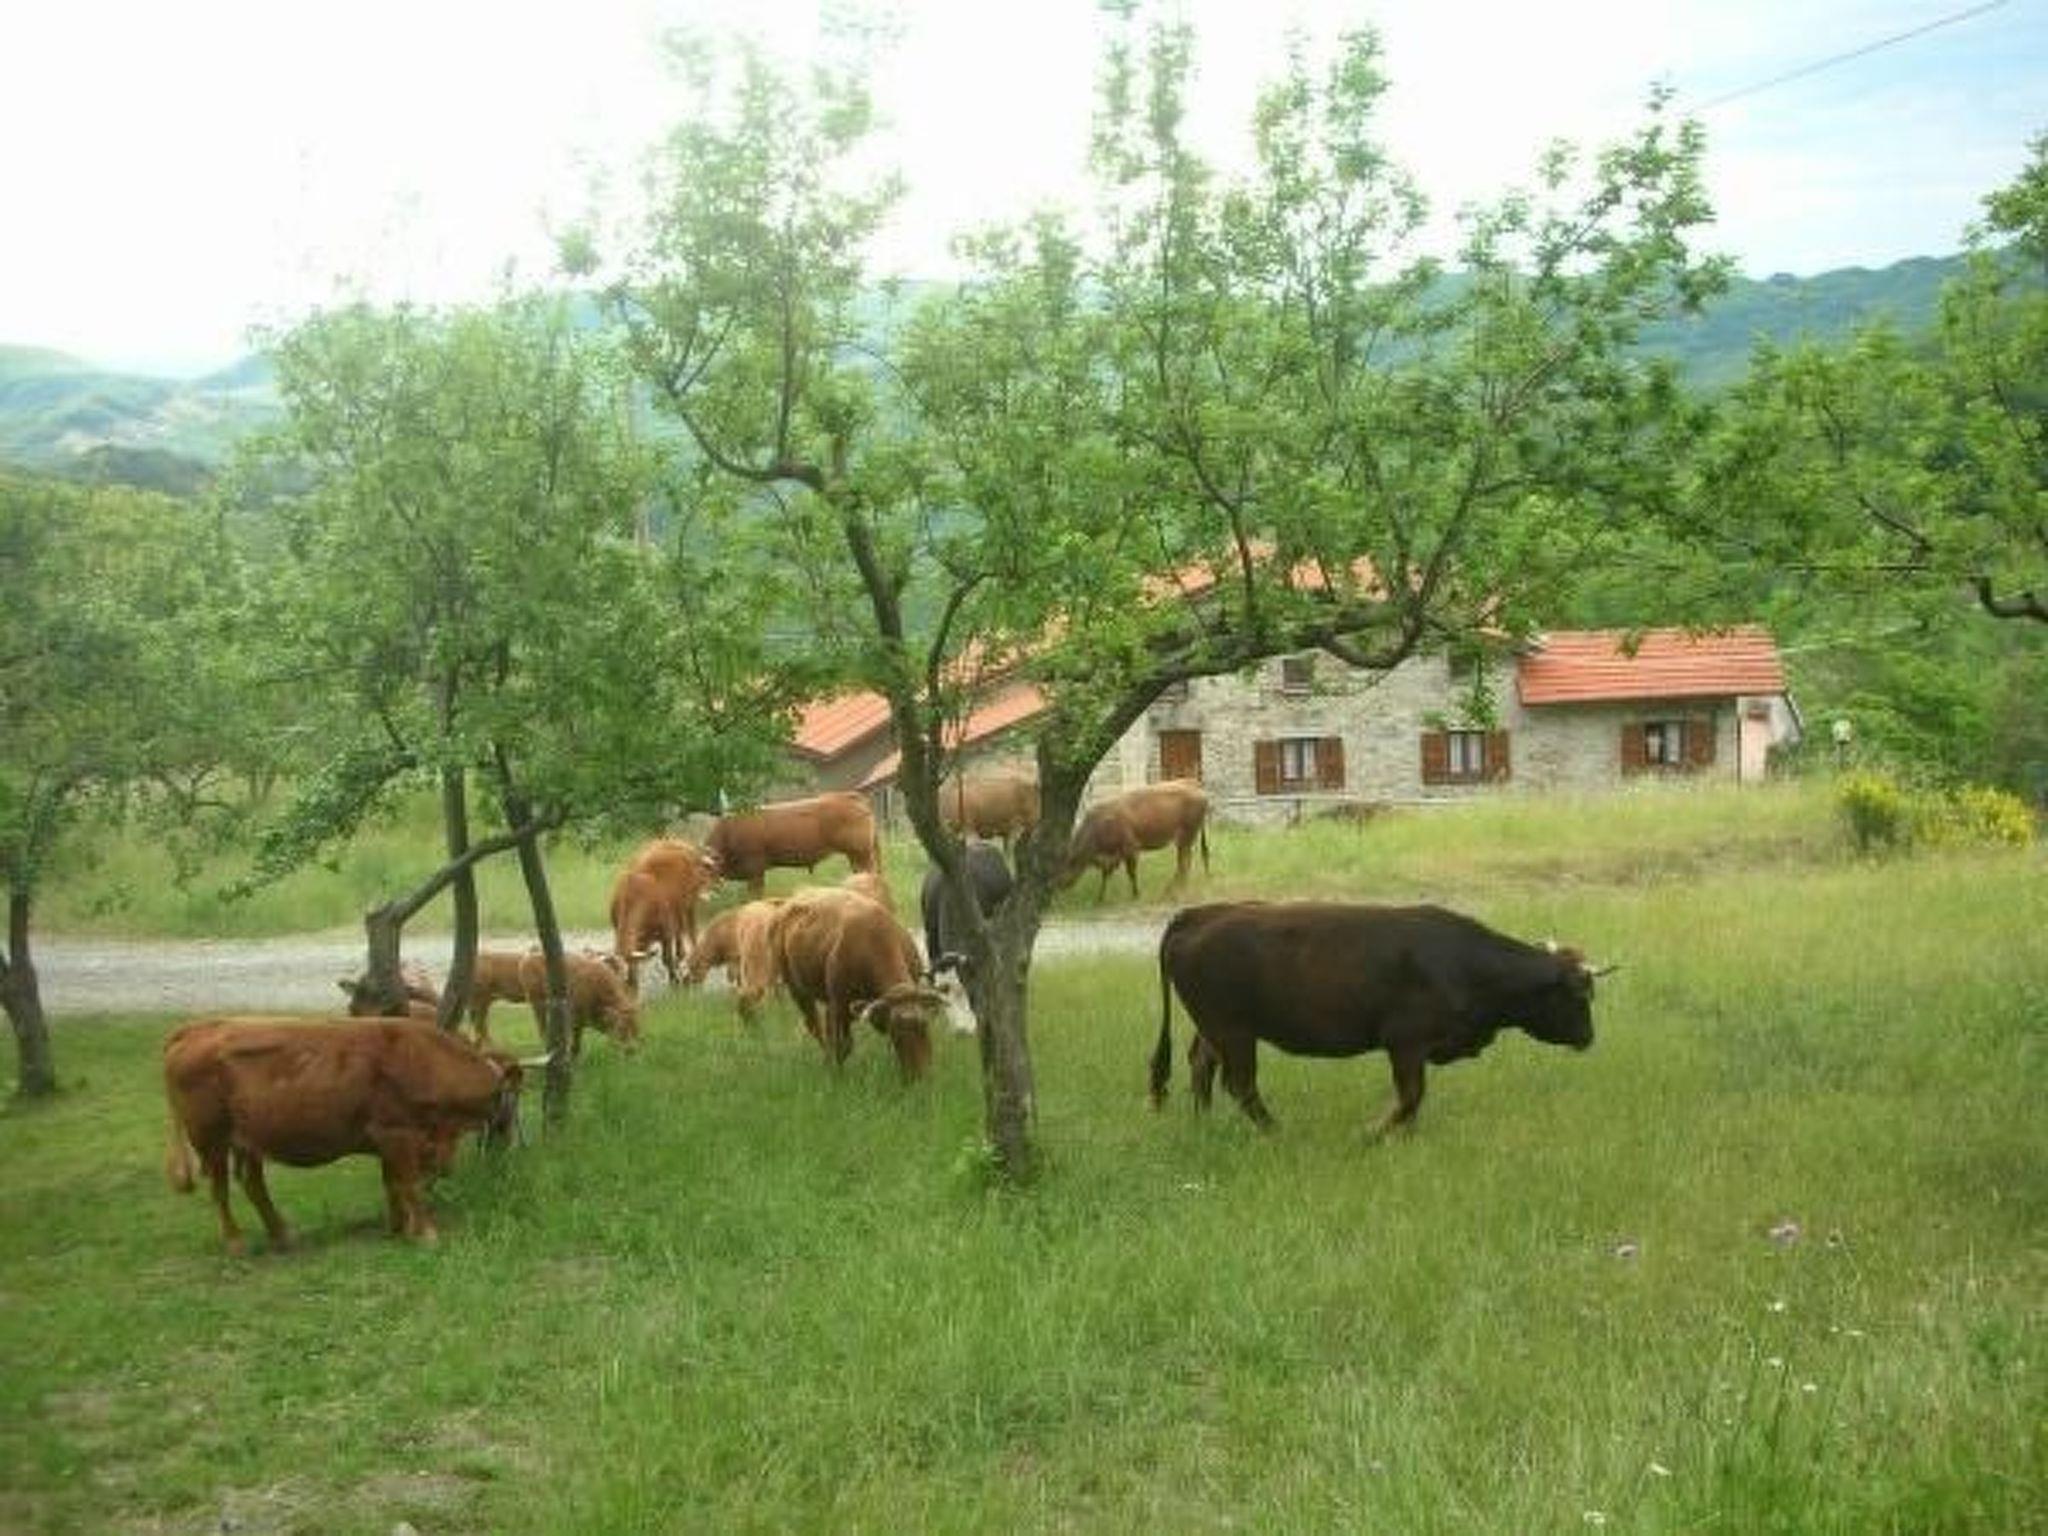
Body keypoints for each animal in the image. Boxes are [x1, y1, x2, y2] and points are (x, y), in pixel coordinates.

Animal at [162, 1016, 541, 1251]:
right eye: (512, 1096)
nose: (512, 1136)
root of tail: (198, 1028)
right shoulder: (397, 1134)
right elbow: (409, 1185)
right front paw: (425, 1232)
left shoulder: (389, 1144)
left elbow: (392, 1185)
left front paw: (398, 1227)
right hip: (210, 1138)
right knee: (220, 1189)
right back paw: (235, 1241)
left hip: (249, 1140)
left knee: (252, 1182)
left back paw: (282, 1235)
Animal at [609, 838, 718, 990]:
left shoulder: (666, 931)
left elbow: (667, 959)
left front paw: (674, 981)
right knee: (680, 931)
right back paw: (680, 955)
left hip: (689, 906)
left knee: (691, 931)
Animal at [770, 887, 946, 1082]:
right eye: (896, 1034)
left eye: (925, 1028)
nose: (919, 1075)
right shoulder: (838, 1006)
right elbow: (842, 1046)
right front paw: (835, 1075)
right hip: (797, 989)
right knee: (815, 1027)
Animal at [1062, 779, 1211, 901]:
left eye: (1072, 861)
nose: (1063, 883)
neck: (1099, 824)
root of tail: (1195, 785)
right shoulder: (1115, 856)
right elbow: (1106, 874)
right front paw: (1100, 898)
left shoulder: (1130, 849)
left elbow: (1131, 872)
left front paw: (1136, 894)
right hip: (1185, 839)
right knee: (1185, 860)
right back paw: (1177, 886)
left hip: (1186, 836)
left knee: (1184, 861)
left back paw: (1173, 888)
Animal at [1151, 902, 1609, 1135]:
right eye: (1579, 995)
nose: (1588, 1037)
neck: (1464, 963)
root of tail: (1197, 914)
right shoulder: (1406, 1043)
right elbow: (1410, 1096)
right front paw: (1374, 1132)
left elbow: (1413, 1100)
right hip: (1234, 1031)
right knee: (1241, 1084)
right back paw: (1275, 1131)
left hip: (1216, 1030)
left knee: (1201, 1064)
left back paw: (1204, 1121)